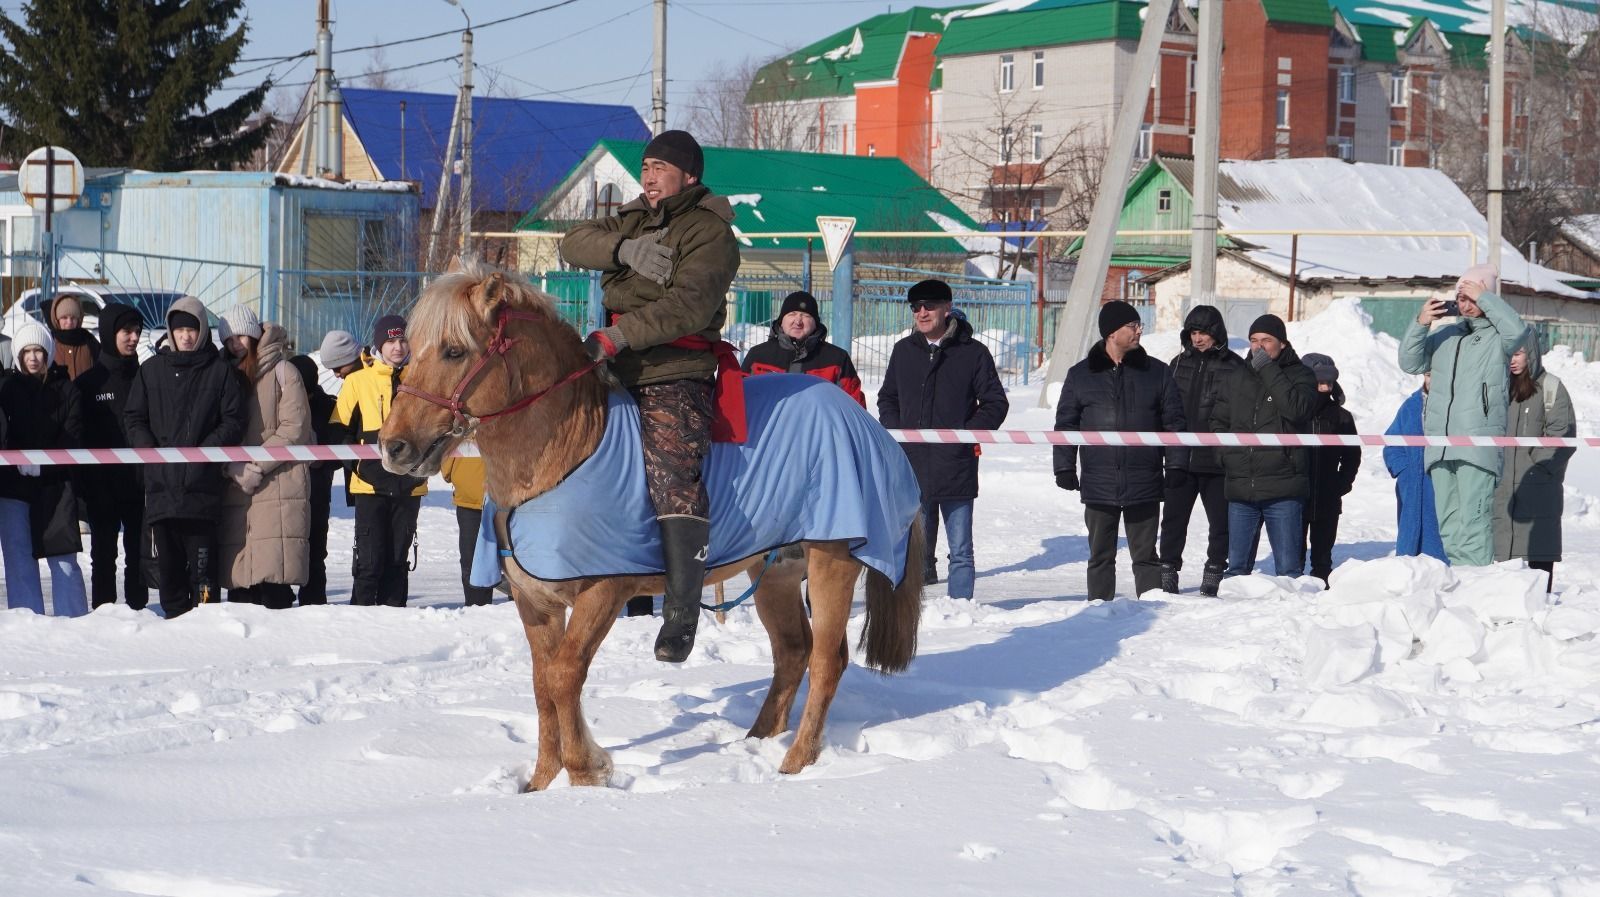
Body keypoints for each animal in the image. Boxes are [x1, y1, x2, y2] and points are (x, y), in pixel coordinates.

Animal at [377, 260, 928, 789]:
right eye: (411, 350)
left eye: (453, 351)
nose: (393, 446)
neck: (563, 455)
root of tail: (867, 425)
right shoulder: (536, 603)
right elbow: (542, 685)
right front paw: (541, 782)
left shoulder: (603, 590)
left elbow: (564, 676)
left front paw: (585, 771)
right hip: (774, 570)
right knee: (793, 652)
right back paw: (754, 742)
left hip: (831, 561)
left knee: (826, 660)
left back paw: (795, 762)